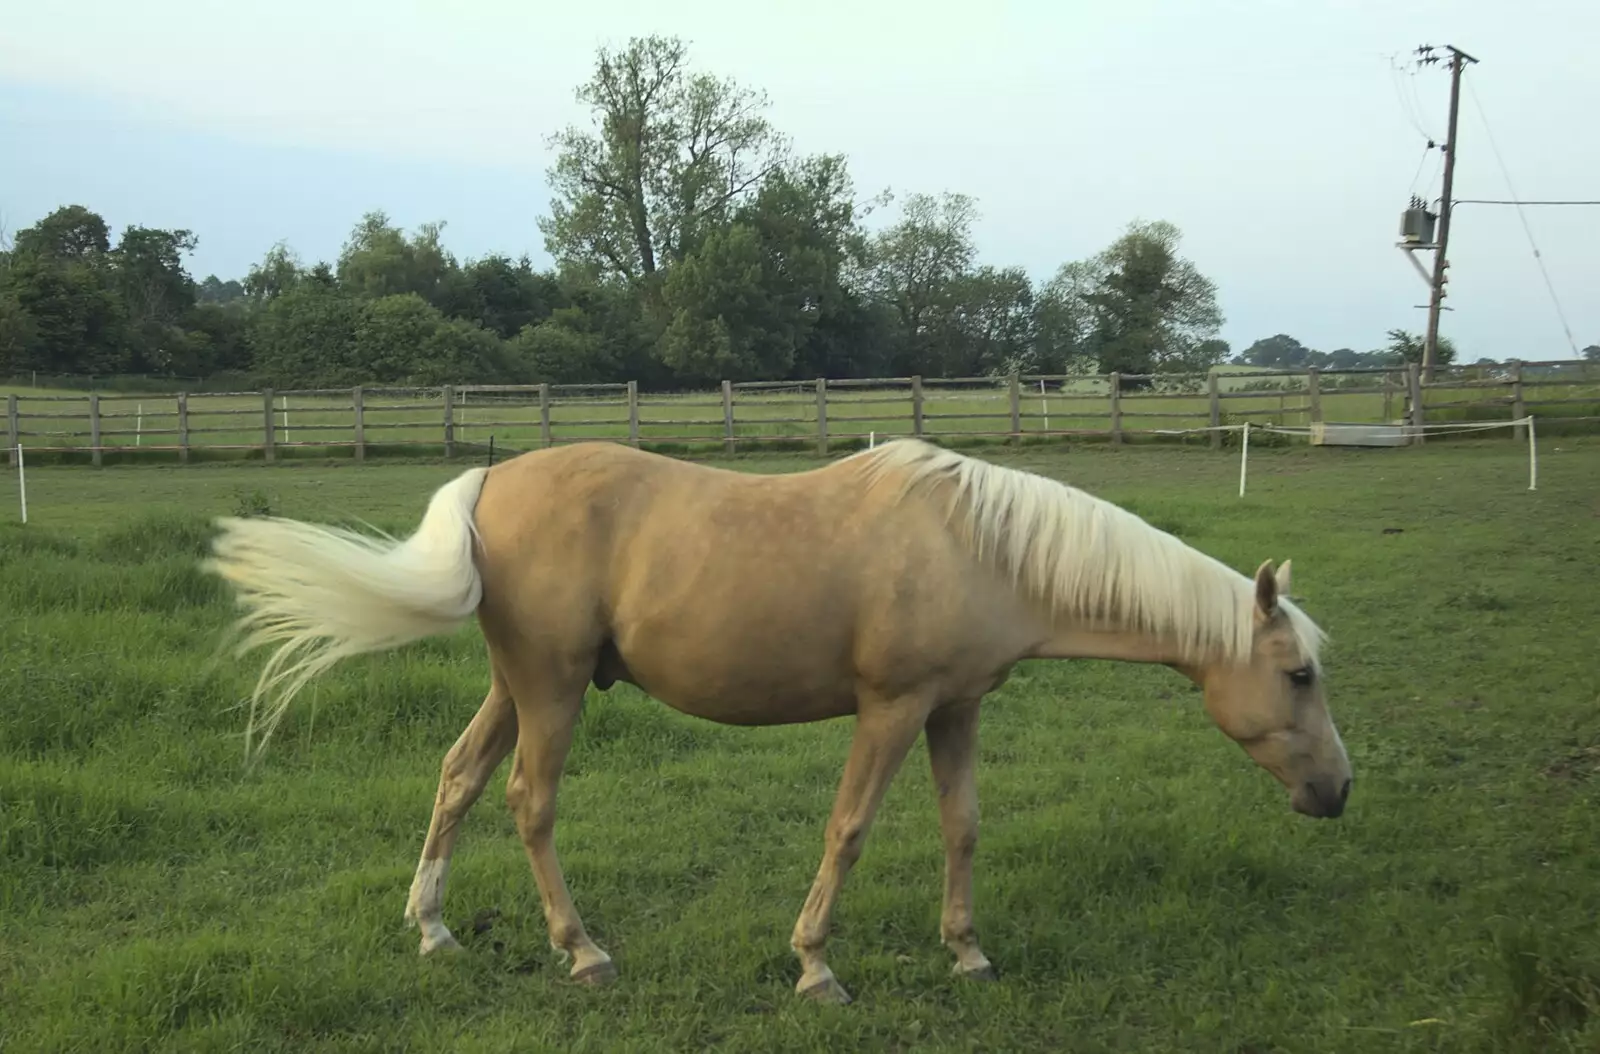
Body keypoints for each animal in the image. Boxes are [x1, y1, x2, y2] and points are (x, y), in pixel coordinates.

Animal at [203, 438, 1350, 1004]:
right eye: (1296, 674)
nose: (1336, 791)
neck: (982, 544)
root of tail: (488, 479)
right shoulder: (891, 709)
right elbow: (849, 830)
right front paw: (815, 965)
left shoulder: (955, 708)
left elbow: (962, 827)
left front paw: (967, 952)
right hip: (553, 689)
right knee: (530, 800)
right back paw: (582, 952)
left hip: (515, 685)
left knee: (459, 777)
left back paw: (434, 927)